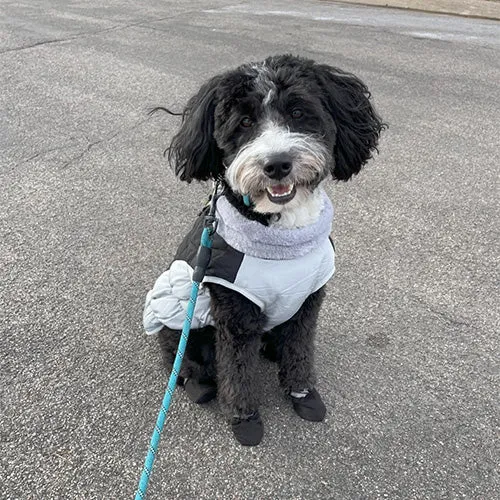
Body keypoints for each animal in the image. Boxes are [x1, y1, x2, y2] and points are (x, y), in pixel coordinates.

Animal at [143, 54, 384, 446]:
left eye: (298, 112)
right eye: (244, 122)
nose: (277, 164)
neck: (283, 238)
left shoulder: (307, 302)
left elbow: (300, 350)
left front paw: (303, 393)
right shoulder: (235, 313)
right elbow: (238, 368)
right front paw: (245, 418)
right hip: (183, 322)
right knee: (182, 363)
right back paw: (198, 384)